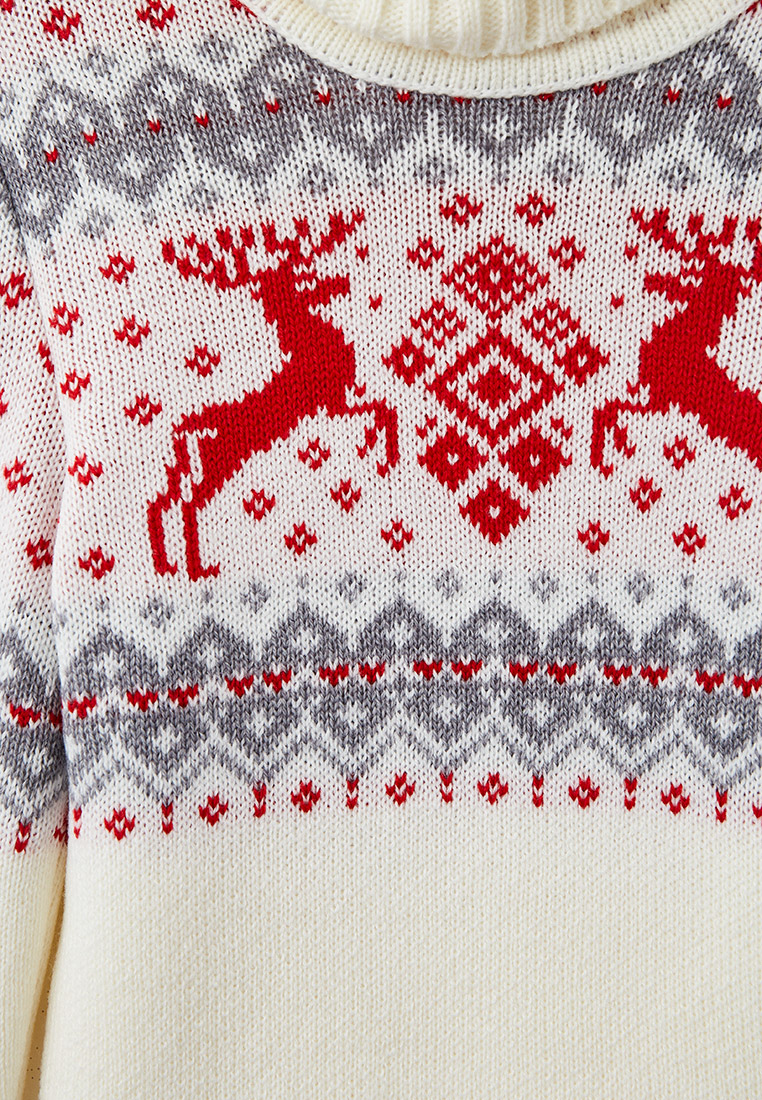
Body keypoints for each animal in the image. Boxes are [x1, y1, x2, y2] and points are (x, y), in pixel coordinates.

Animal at [149, 210, 399, 580]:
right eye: (300, 280)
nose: (339, 284)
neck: (313, 341)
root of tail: (186, 430)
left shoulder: (342, 396)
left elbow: (378, 406)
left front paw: (376, 451)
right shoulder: (332, 401)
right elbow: (380, 409)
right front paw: (382, 456)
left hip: (186, 468)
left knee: (164, 500)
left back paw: (170, 564)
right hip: (216, 464)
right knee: (189, 502)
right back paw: (198, 567)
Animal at [590, 207, 762, 477]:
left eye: (695, 278)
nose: (654, 281)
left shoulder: (657, 398)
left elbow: (612, 408)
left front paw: (611, 452)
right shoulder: (646, 390)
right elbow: (609, 407)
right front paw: (612, 450)